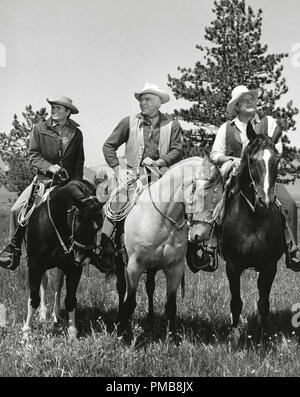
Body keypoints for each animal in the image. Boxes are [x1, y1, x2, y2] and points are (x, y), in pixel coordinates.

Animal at [22, 179, 104, 338]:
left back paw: (56, 315)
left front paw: (72, 333)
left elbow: (70, 299)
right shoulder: (34, 265)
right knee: (44, 283)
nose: (84, 259)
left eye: (98, 227)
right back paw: (43, 315)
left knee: (58, 286)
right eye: (79, 223)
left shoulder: (73, 268)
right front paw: (26, 333)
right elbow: (33, 298)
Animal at [116, 156, 224, 336]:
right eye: (202, 192)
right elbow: (130, 303)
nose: (200, 235)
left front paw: (171, 336)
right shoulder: (133, 266)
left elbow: (171, 306)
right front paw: (124, 335)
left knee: (150, 287)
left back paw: (150, 320)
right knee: (121, 289)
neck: (161, 219)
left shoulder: (175, 268)